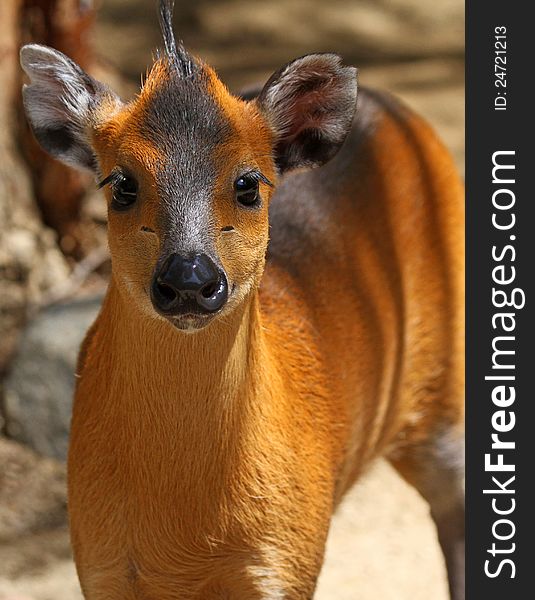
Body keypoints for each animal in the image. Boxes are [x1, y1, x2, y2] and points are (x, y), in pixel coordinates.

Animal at [19, 1, 464, 600]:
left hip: (446, 387)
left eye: (248, 184)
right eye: (122, 184)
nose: (189, 279)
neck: (186, 542)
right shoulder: (97, 560)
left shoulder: (287, 561)